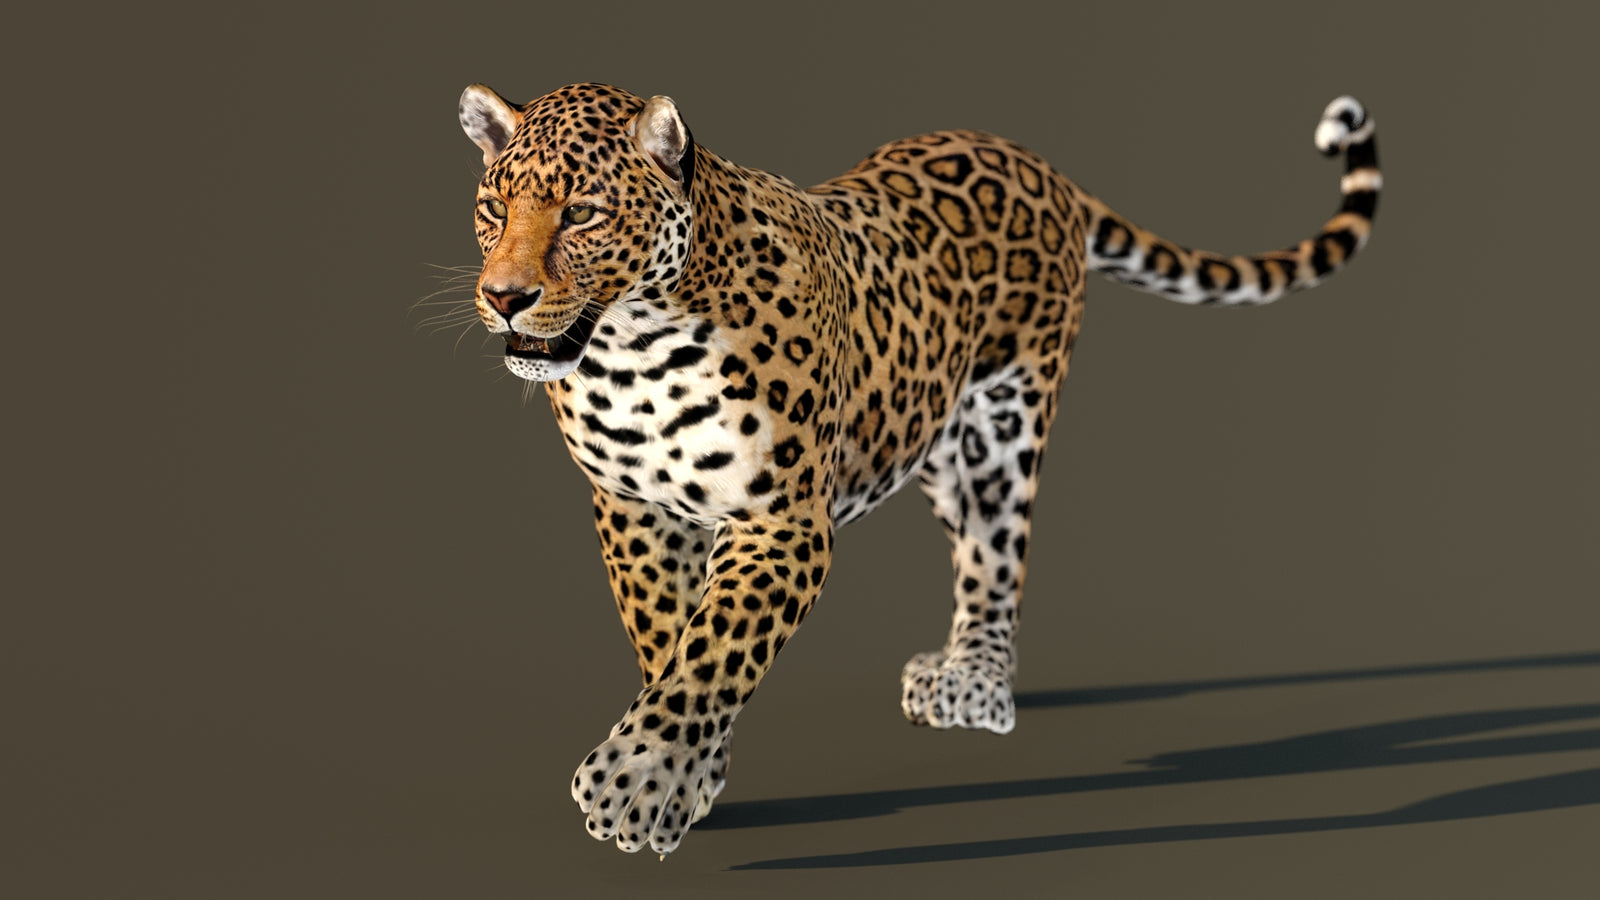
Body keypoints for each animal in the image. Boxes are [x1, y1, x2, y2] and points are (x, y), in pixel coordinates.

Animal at [452, 81, 1379, 857]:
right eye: (494, 208)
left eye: (582, 213)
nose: (504, 297)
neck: (631, 352)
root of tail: (1028, 155)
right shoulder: (632, 506)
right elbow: (666, 637)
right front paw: (693, 776)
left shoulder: (784, 521)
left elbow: (716, 645)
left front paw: (639, 784)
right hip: (931, 435)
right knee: (967, 543)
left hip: (1006, 421)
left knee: (998, 556)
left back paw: (976, 681)